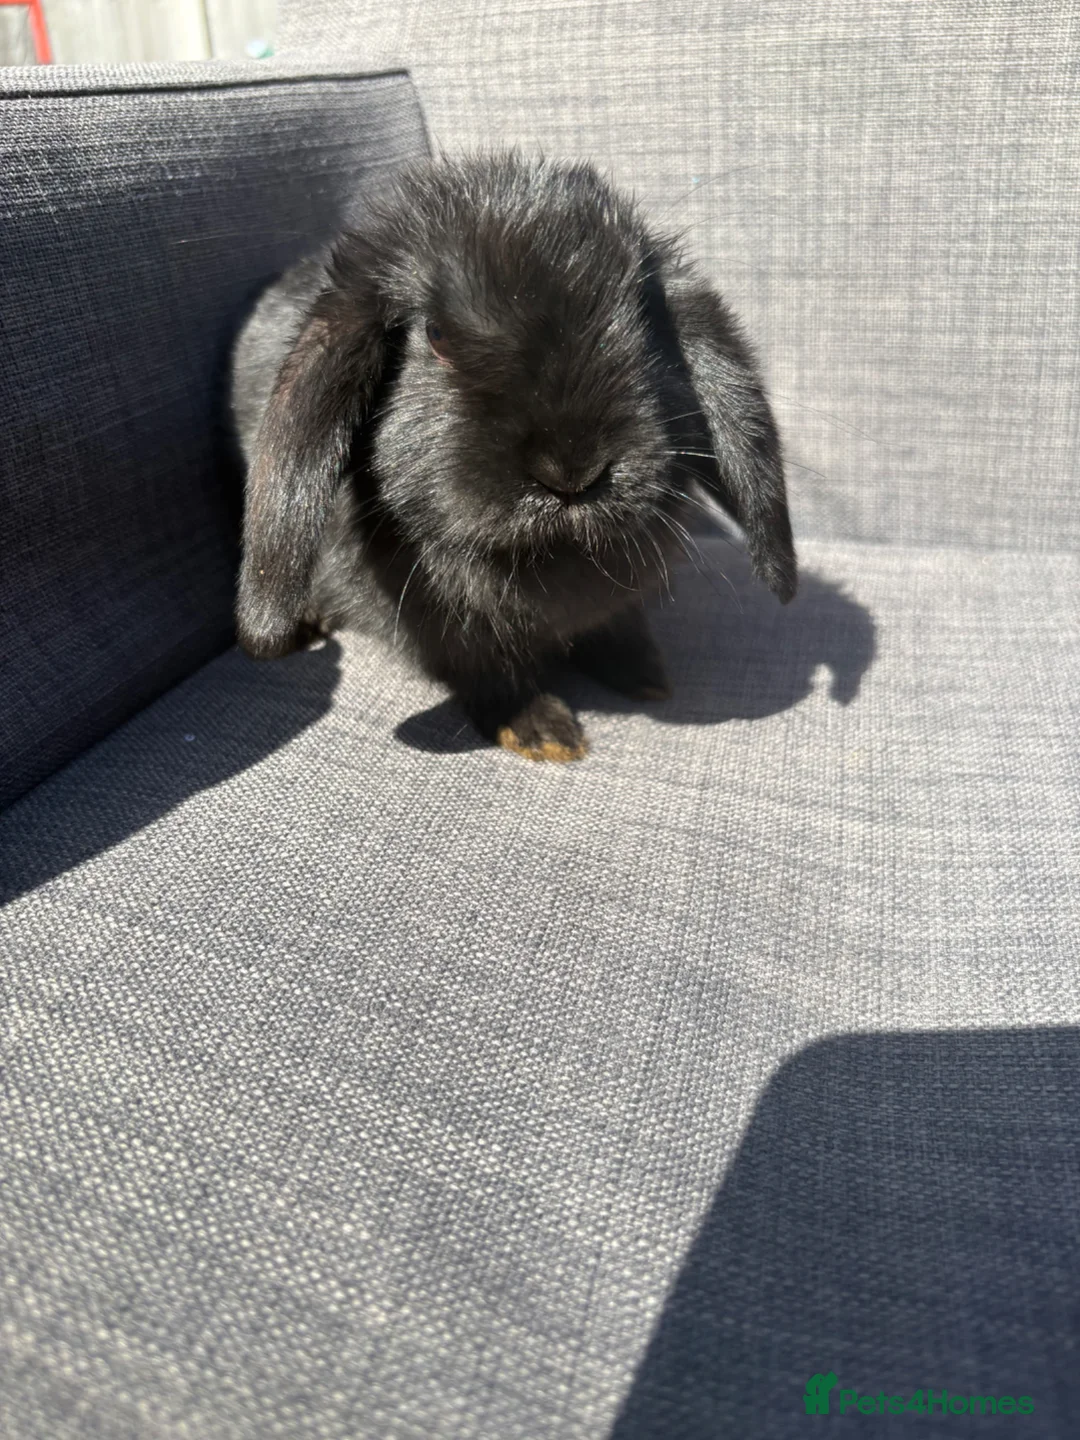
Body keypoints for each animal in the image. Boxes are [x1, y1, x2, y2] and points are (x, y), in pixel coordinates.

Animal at [232, 152, 796, 761]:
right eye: (435, 336)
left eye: (648, 327)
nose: (572, 471)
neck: (548, 560)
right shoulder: (450, 634)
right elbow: (485, 670)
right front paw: (542, 731)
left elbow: (618, 624)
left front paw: (643, 674)